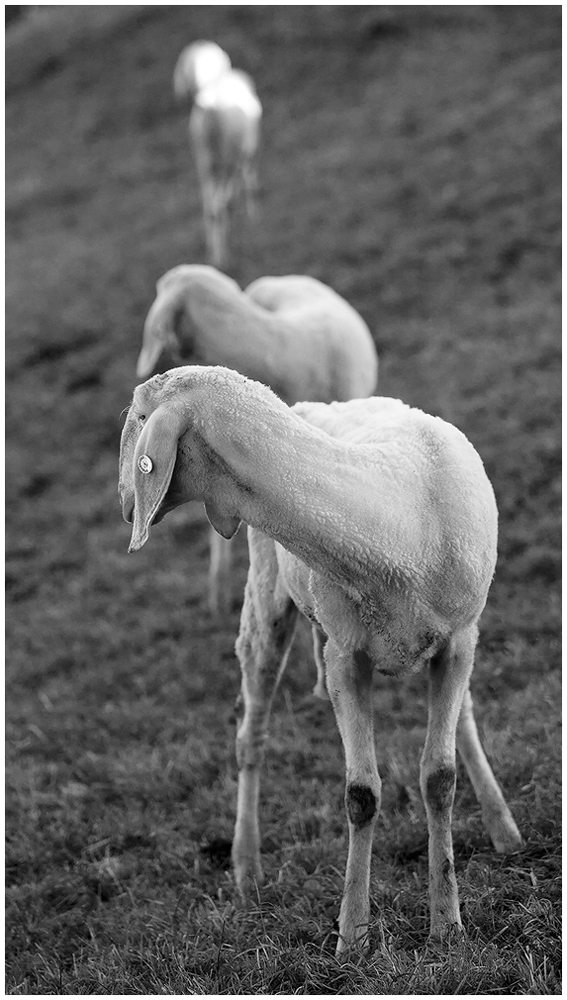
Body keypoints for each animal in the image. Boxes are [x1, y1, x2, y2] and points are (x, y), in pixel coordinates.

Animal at [118, 366, 524, 952]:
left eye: (140, 417)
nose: (125, 502)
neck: (393, 521)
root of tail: (317, 404)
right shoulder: (343, 657)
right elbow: (361, 794)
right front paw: (352, 934)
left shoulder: (459, 641)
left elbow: (439, 778)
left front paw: (447, 924)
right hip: (267, 602)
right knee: (251, 735)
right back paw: (246, 868)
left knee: (464, 717)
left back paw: (502, 827)